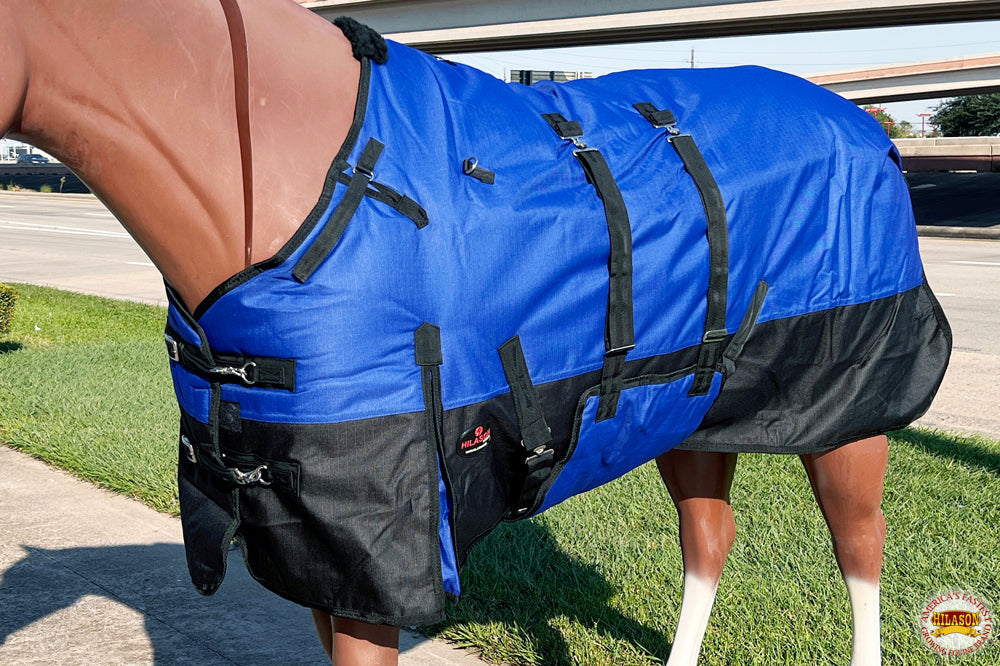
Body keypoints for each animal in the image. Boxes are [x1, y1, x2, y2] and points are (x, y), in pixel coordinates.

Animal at [0, 1, 951, 665]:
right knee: (709, 541)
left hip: (850, 415)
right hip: (689, 408)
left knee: (860, 550)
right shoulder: (316, 547)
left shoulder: (380, 545)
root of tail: (864, 125)